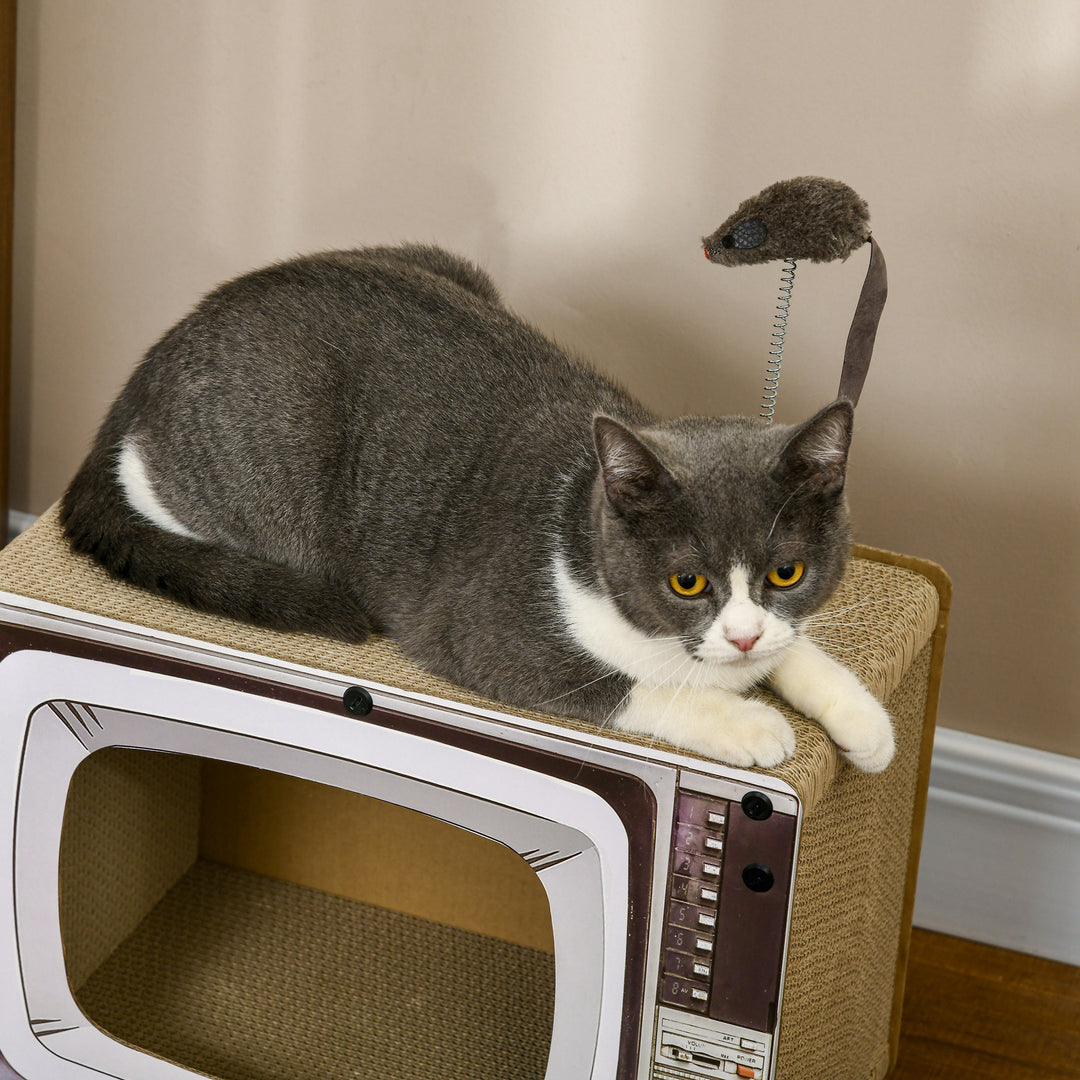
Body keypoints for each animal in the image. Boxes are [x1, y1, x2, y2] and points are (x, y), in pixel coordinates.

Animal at [56, 243, 894, 768]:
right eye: (686, 582)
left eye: (786, 573)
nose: (743, 636)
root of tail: (155, 355)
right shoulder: (487, 635)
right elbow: (622, 686)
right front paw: (751, 723)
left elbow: (797, 647)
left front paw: (863, 722)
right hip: (270, 468)